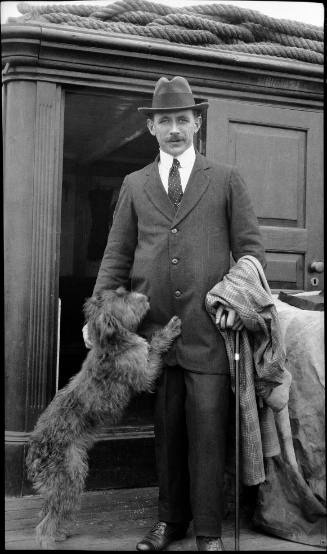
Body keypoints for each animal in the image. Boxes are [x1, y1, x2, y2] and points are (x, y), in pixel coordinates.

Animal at [26, 286, 182, 544]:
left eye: (121, 291)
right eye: (122, 298)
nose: (145, 296)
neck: (112, 341)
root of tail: (36, 452)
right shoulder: (144, 372)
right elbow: (155, 346)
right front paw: (169, 328)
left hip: (59, 484)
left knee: (50, 511)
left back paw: (60, 532)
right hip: (71, 475)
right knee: (45, 524)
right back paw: (49, 538)